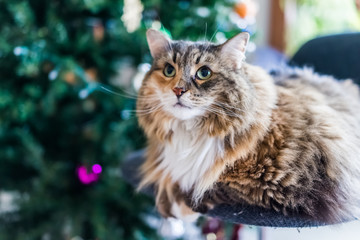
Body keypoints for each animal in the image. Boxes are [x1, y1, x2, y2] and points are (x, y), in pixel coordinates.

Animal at [135, 29, 360, 224]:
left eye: (204, 72)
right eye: (169, 70)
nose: (177, 90)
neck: (192, 131)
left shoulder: (287, 181)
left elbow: (212, 184)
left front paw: (178, 206)